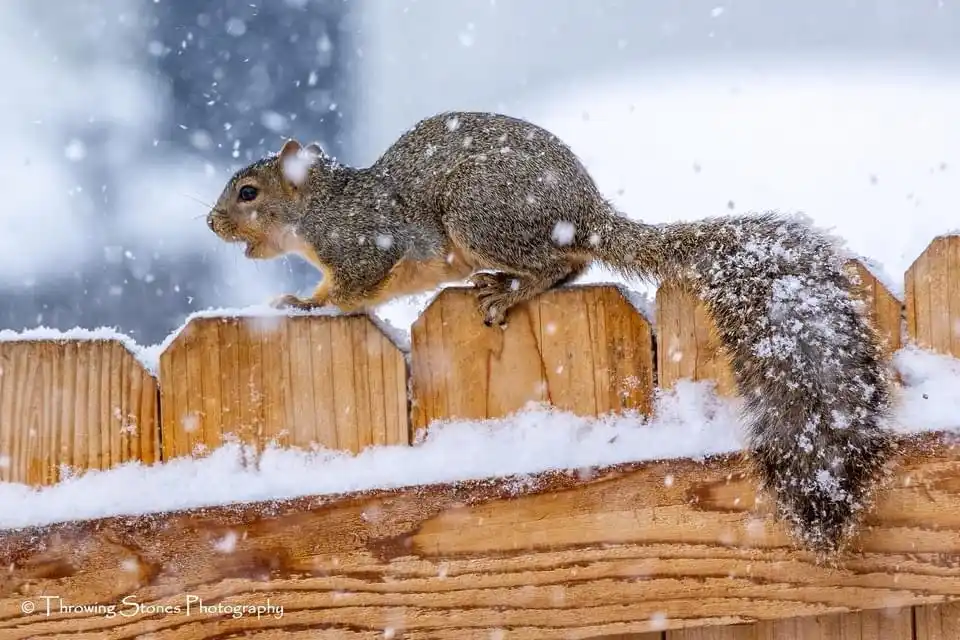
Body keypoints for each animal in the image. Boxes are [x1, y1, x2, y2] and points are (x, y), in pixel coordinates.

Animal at [207, 110, 895, 557]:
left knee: (555, 264)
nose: (212, 223)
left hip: (481, 213)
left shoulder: (363, 247)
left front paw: (302, 304)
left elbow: (349, 290)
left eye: (248, 192)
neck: (317, 210)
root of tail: (586, 213)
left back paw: (507, 288)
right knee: (571, 265)